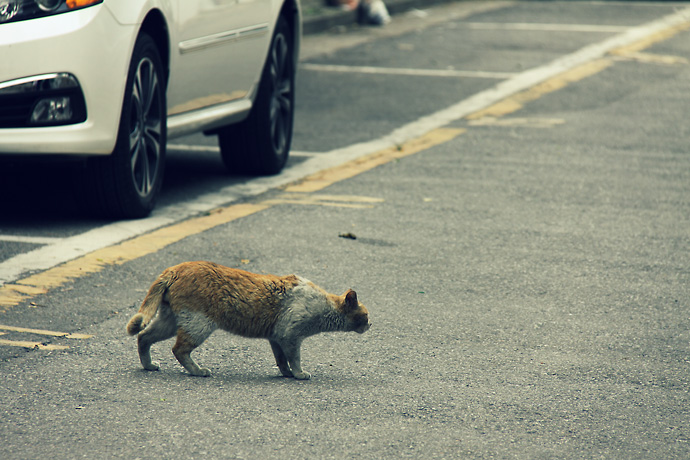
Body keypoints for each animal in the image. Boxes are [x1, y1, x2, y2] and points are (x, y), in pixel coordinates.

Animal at [124, 260, 370, 380]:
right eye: (366, 316)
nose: (371, 324)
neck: (323, 307)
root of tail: (174, 268)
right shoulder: (291, 337)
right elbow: (295, 359)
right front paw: (299, 374)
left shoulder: (276, 338)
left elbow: (282, 361)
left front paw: (287, 374)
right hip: (198, 325)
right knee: (179, 349)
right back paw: (198, 371)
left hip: (171, 321)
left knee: (143, 337)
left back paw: (148, 365)